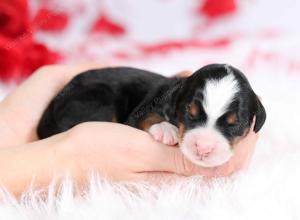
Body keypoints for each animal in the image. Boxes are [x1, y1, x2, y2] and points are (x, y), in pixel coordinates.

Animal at [38, 63, 268, 167]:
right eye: (190, 113)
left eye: (234, 124)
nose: (203, 148)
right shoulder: (144, 109)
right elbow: (149, 117)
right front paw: (166, 129)